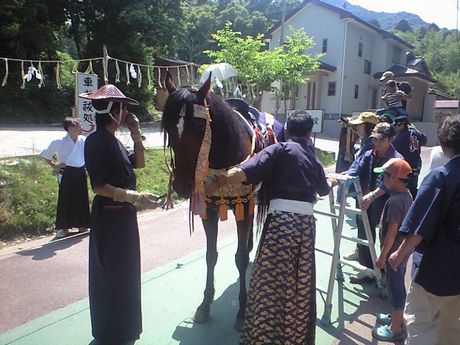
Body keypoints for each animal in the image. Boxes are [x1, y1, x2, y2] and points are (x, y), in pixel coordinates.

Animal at [162, 70, 262, 330]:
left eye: (200, 127)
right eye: (168, 127)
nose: (182, 185)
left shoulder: (244, 204)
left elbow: (239, 258)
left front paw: (242, 310)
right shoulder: (209, 209)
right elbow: (211, 256)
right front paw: (205, 304)